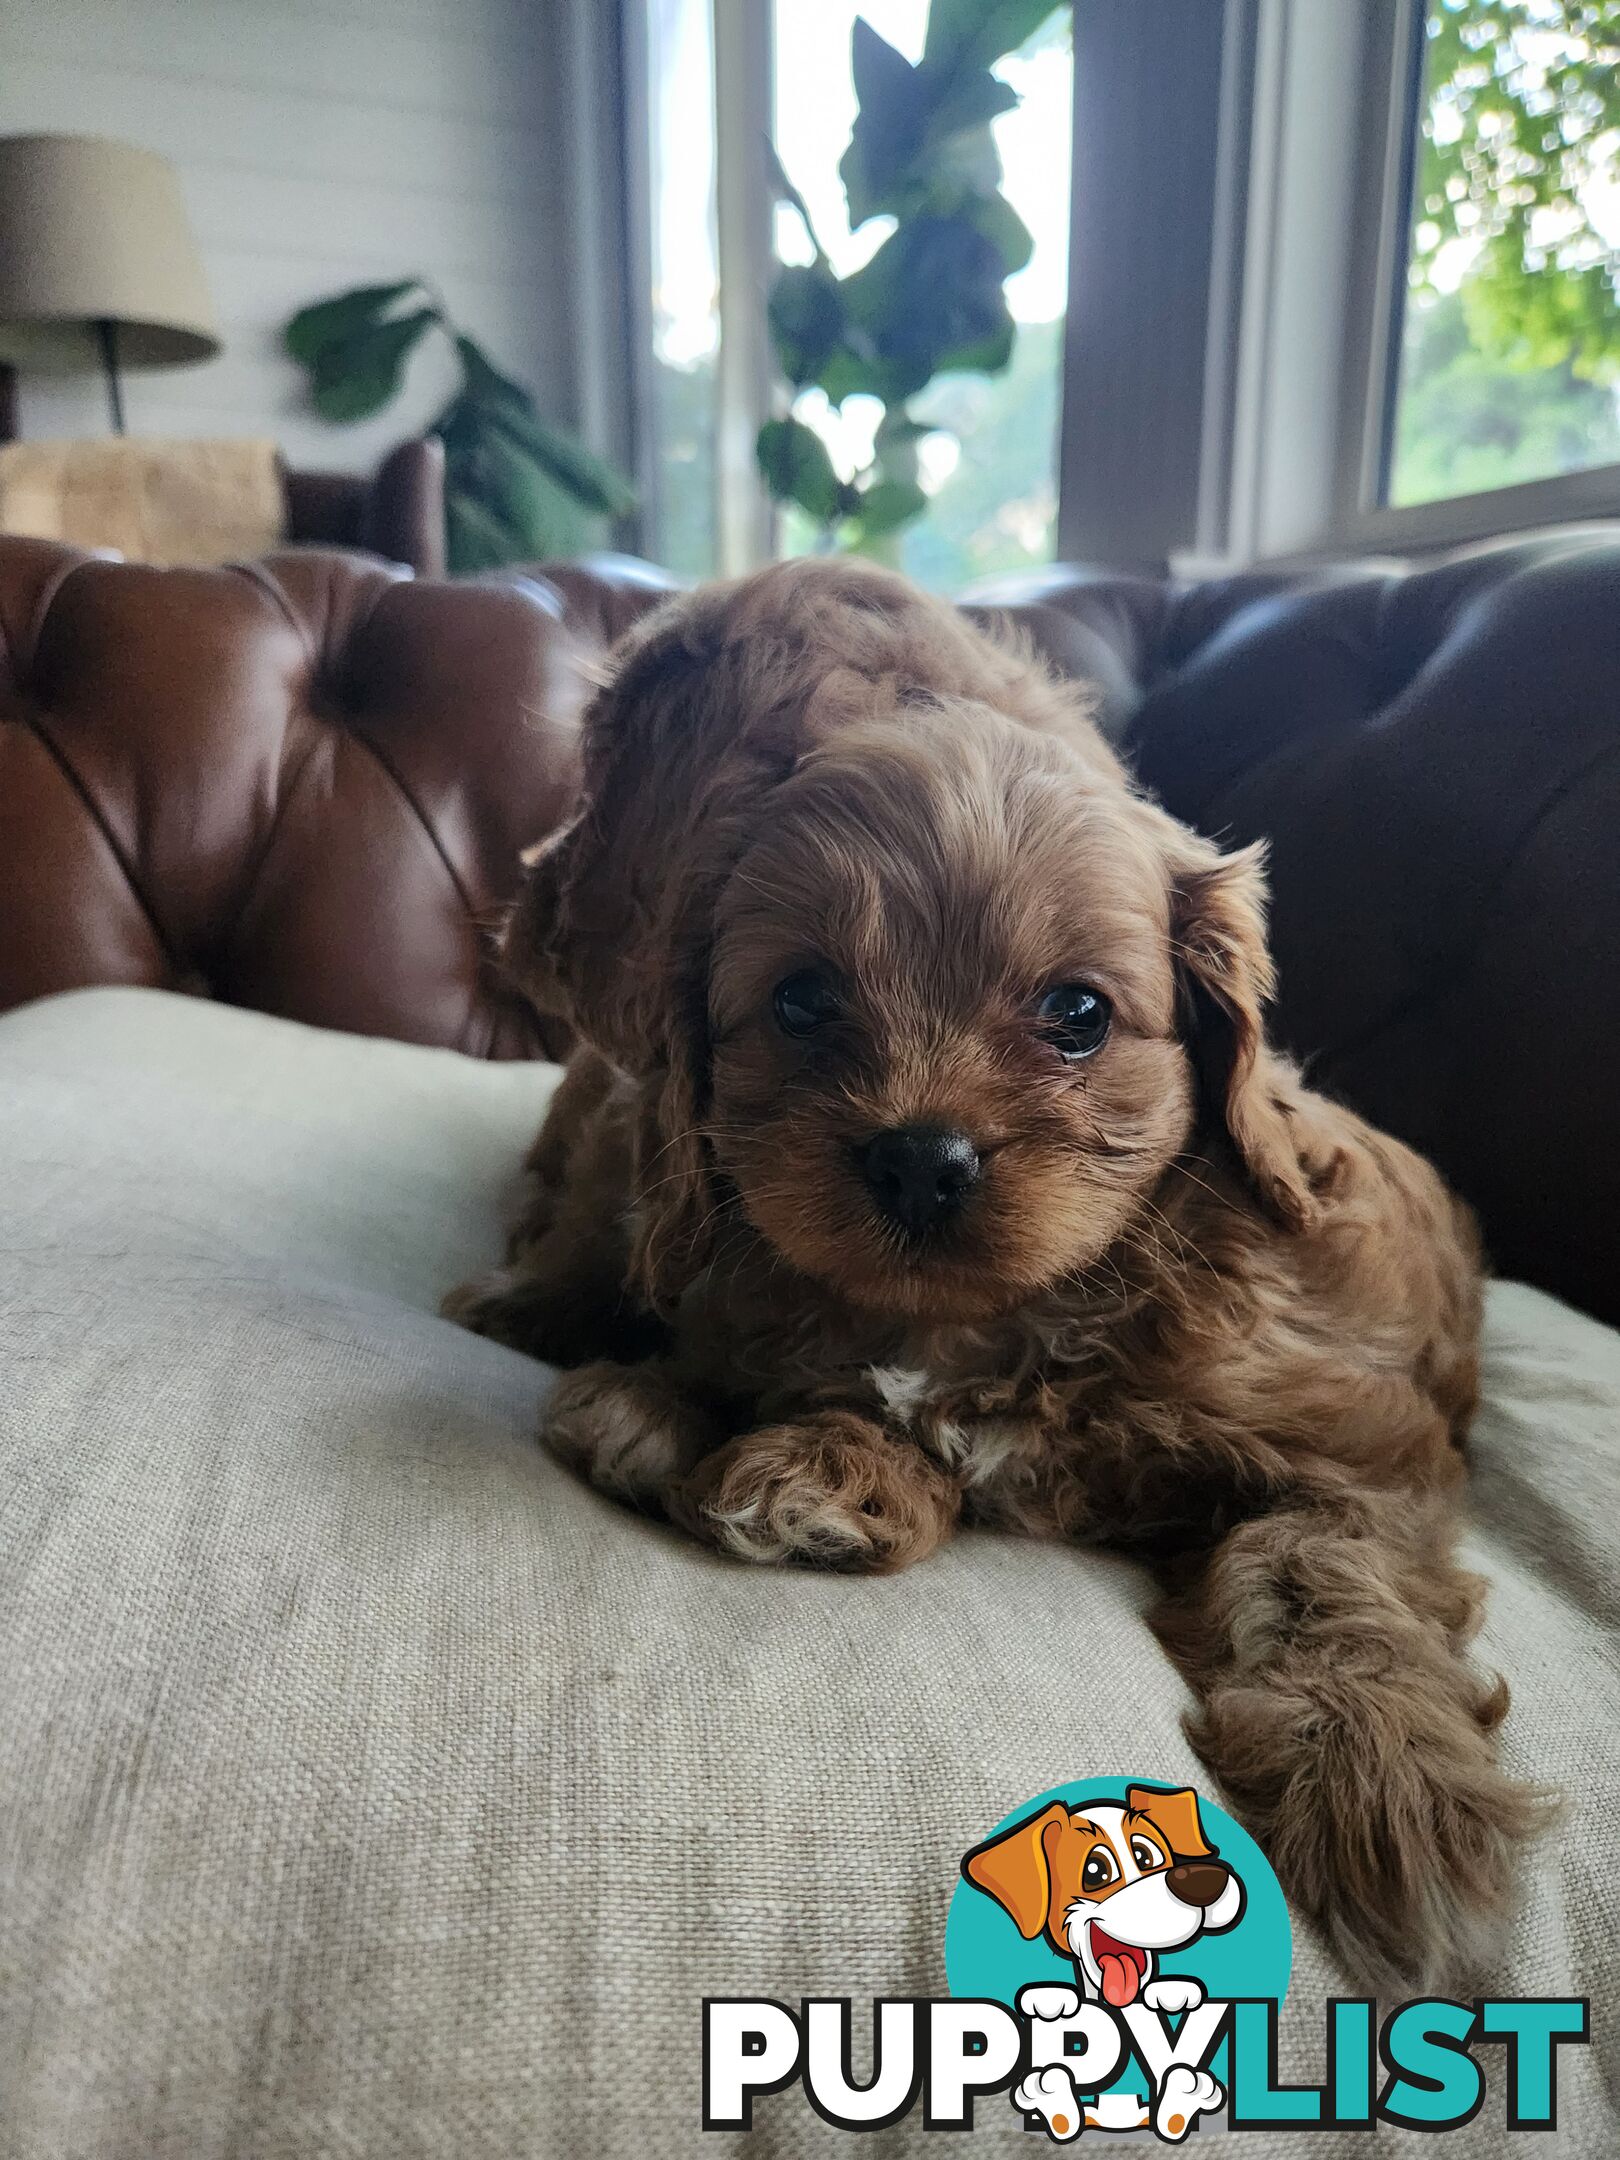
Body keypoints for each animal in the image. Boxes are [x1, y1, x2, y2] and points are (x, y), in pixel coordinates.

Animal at [451, 557, 1537, 1987]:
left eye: (1078, 1015)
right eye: (801, 1001)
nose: (922, 1160)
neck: (1005, 1319)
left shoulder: (1368, 1461)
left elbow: (1327, 1574)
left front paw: (1389, 1783)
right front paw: (823, 1462)